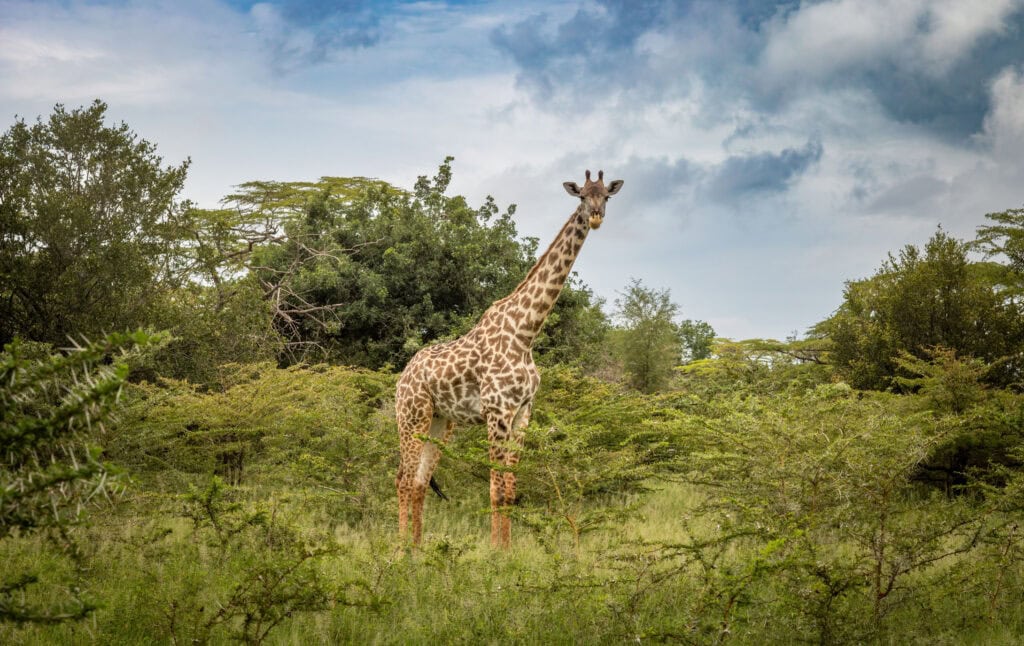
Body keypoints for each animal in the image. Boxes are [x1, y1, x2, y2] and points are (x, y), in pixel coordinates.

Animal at [395, 170, 624, 548]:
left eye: (606, 196)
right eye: (581, 196)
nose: (595, 217)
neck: (525, 332)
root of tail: (402, 376)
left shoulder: (522, 413)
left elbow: (511, 489)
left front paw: (509, 549)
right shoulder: (497, 411)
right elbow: (496, 489)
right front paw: (496, 552)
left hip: (441, 421)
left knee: (418, 482)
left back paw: (416, 550)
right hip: (411, 416)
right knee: (402, 477)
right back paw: (399, 552)